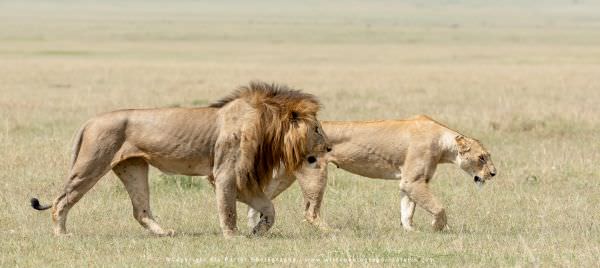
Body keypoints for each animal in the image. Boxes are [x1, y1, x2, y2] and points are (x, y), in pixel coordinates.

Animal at [30, 81, 330, 237]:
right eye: (317, 128)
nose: (328, 148)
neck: (267, 127)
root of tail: (90, 120)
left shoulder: (240, 178)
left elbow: (269, 208)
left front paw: (257, 231)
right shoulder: (224, 173)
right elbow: (228, 209)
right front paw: (233, 237)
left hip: (133, 167)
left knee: (140, 210)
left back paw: (164, 233)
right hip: (92, 163)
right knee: (61, 200)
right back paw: (61, 234)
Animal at [248, 114, 496, 230]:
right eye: (482, 157)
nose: (494, 173)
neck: (443, 142)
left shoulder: (409, 182)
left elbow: (407, 210)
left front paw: (410, 231)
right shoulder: (414, 181)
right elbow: (439, 207)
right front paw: (436, 227)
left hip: (284, 177)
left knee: (260, 197)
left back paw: (256, 228)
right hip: (315, 174)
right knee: (310, 213)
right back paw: (333, 232)